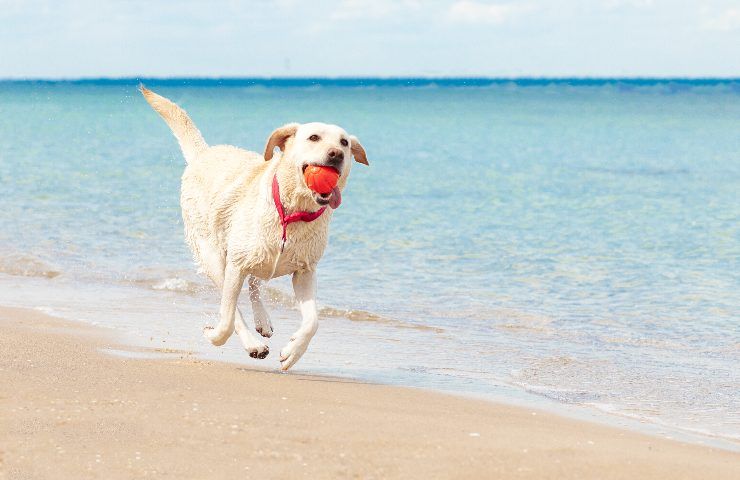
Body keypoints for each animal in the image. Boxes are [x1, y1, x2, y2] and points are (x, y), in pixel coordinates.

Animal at [140, 87, 368, 372]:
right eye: (314, 137)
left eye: (345, 142)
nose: (336, 154)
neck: (292, 213)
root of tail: (204, 153)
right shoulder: (235, 265)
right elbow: (228, 317)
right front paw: (215, 336)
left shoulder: (304, 271)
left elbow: (313, 322)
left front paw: (292, 352)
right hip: (213, 254)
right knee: (234, 297)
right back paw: (252, 342)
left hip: (259, 254)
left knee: (255, 283)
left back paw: (263, 320)